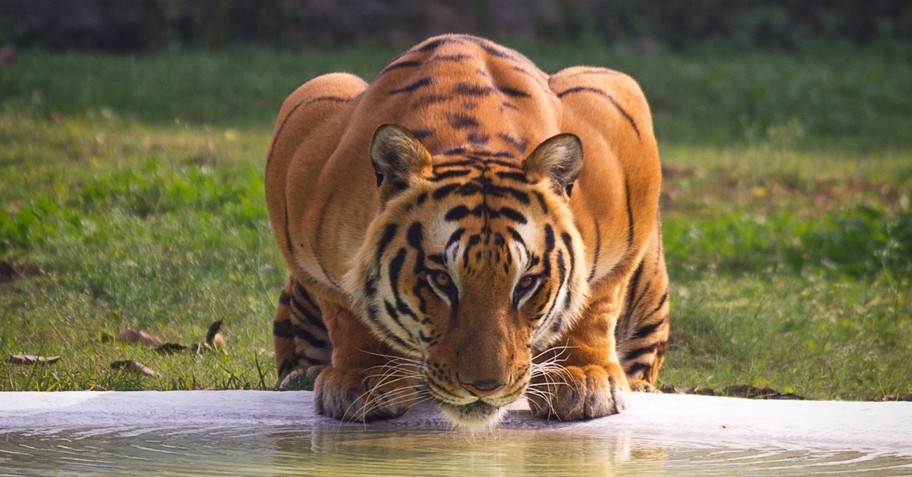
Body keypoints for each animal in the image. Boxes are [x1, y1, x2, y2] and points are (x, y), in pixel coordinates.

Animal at [264, 34, 668, 428]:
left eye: (526, 283)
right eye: (441, 280)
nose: (485, 388)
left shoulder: (620, 116)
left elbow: (596, 301)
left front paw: (582, 378)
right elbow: (345, 310)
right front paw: (362, 379)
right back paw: (302, 376)